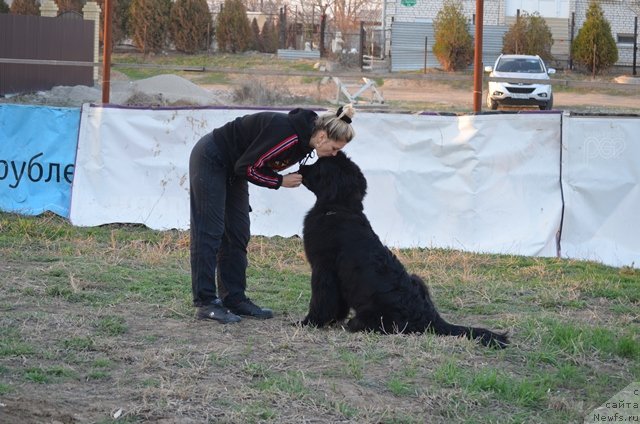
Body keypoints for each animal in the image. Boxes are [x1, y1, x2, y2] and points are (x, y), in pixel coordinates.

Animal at [296, 151, 510, 350]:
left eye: (318, 165)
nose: (301, 167)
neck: (339, 208)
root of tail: (430, 317)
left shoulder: (323, 270)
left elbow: (321, 300)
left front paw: (309, 322)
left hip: (368, 317)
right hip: (417, 279)